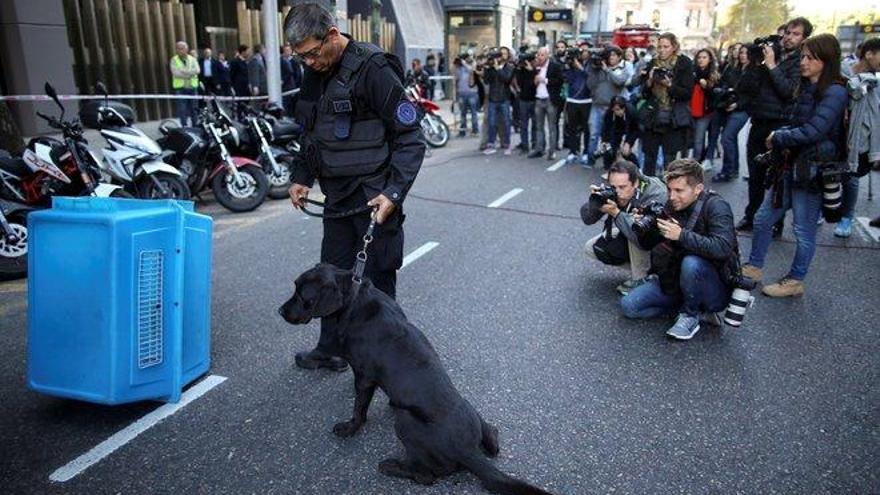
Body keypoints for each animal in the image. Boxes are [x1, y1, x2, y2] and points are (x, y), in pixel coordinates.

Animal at [278, 266, 552, 495]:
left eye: (302, 295)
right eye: (295, 288)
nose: (280, 311)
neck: (354, 299)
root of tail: (468, 450)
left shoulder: (364, 376)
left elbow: (359, 409)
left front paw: (349, 428)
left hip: (406, 421)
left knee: (427, 476)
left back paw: (391, 466)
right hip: (472, 413)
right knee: (493, 438)